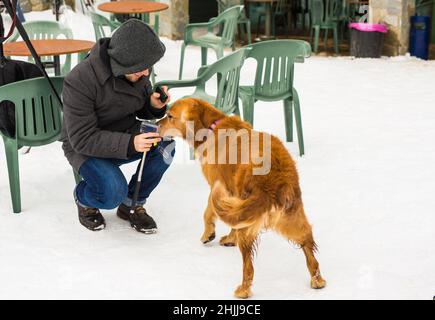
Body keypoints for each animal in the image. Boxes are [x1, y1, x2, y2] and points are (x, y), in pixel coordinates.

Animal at [158, 97, 326, 298]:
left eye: (169, 116)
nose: (156, 125)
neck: (212, 126)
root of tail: (273, 182)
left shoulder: (219, 188)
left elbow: (208, 213)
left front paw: (208, 234)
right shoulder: (233, 199)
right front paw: (228, 238)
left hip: (249, 225)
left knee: (248, 266)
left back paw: (243, 289)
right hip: (293, 216)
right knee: (308, 243)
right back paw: (317, 279)